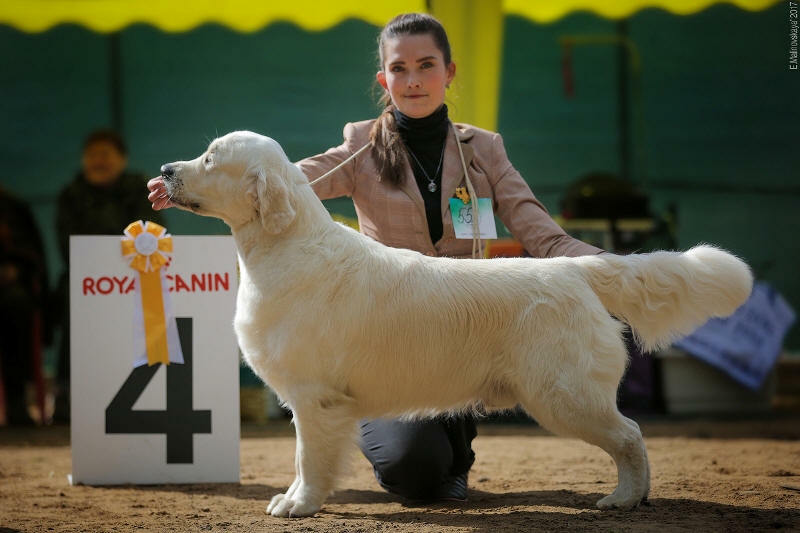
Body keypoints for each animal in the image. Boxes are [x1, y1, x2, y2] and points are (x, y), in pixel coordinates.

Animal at [159, 130, 752, 516]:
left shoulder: (314, 397)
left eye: (209, 159)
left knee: (630, 436)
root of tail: (574, 266)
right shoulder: (315, 399)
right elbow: (308, 459)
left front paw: (299, 504)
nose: (165, 170)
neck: (286, 247)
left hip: (564, 394)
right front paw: (297, 498)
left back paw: (626, 498)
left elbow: (309, 458)